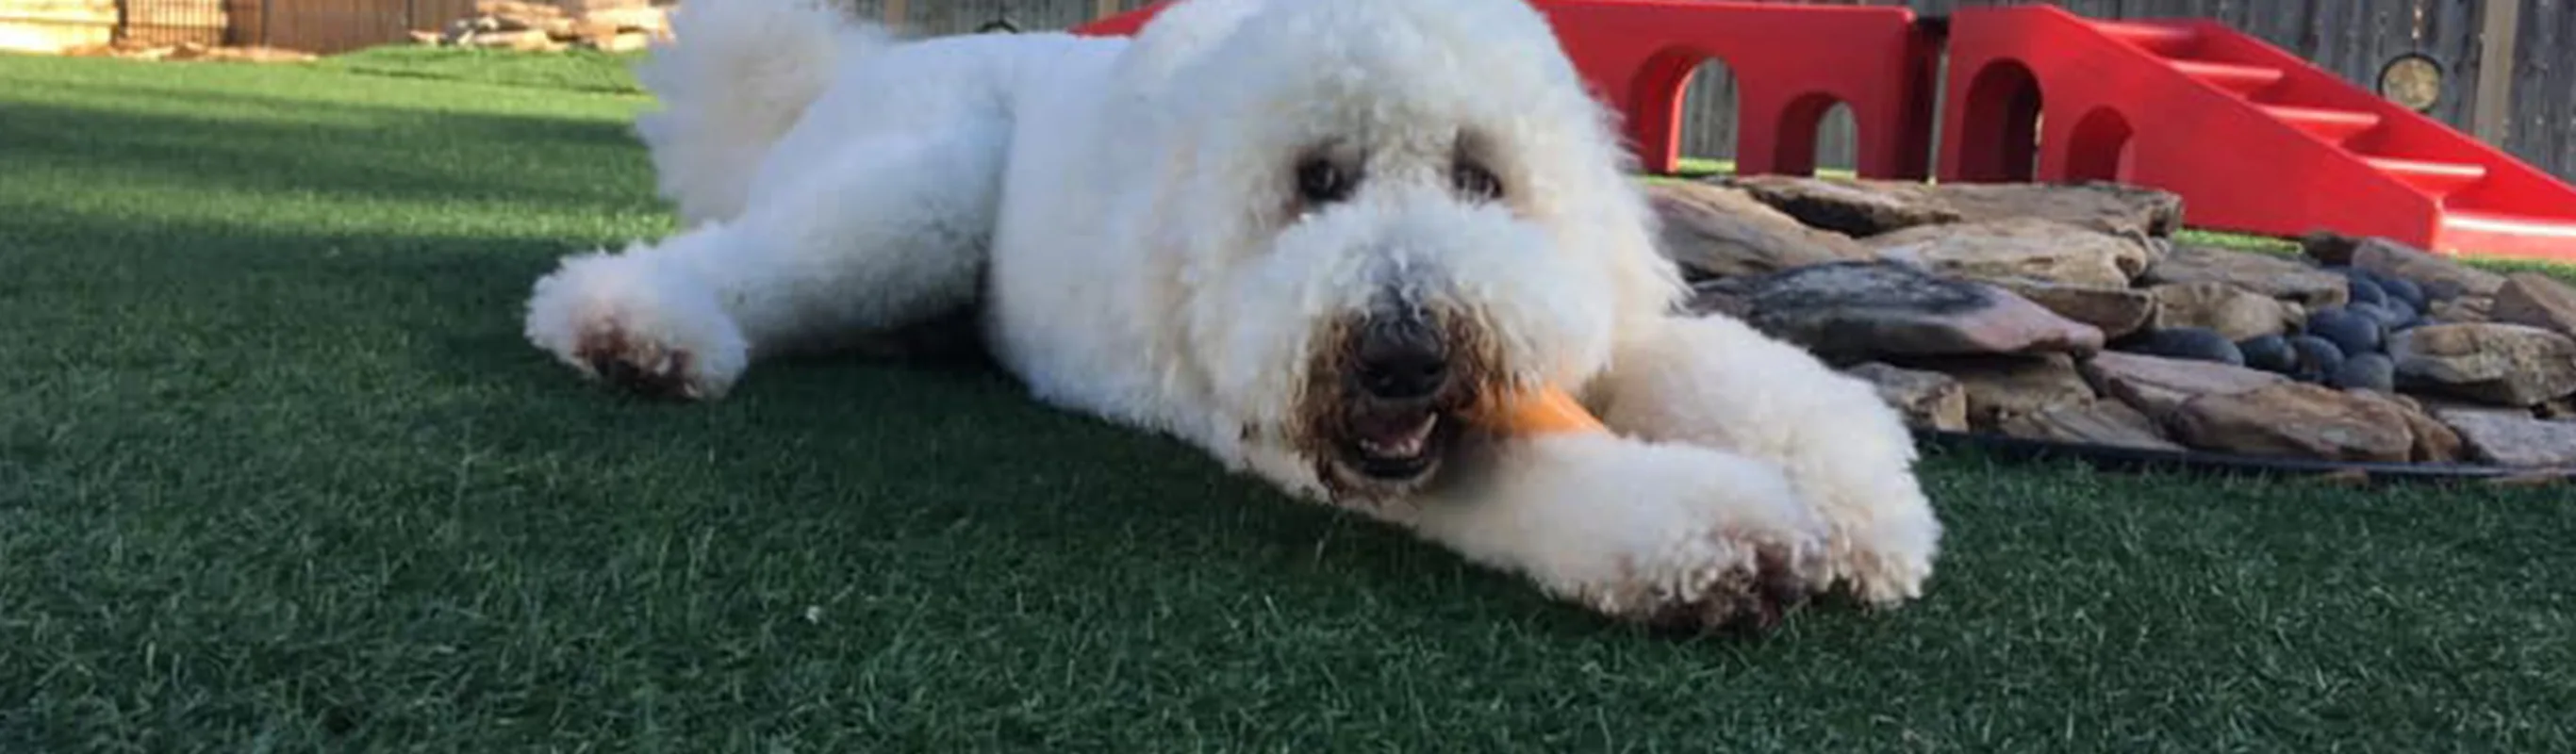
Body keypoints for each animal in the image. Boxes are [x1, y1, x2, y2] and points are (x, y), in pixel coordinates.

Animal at [522, 0, 1937, 628]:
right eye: (1314, 181)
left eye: (1482, 178)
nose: (1405, 350)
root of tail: (853, 69)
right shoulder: (1301, 433)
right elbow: (1541, 473)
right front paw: (1713, 532)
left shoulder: (1592, 326)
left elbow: (1713, 365)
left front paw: (1860, 499)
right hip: (921, 192)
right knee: (738, 258)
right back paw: (631, 328)